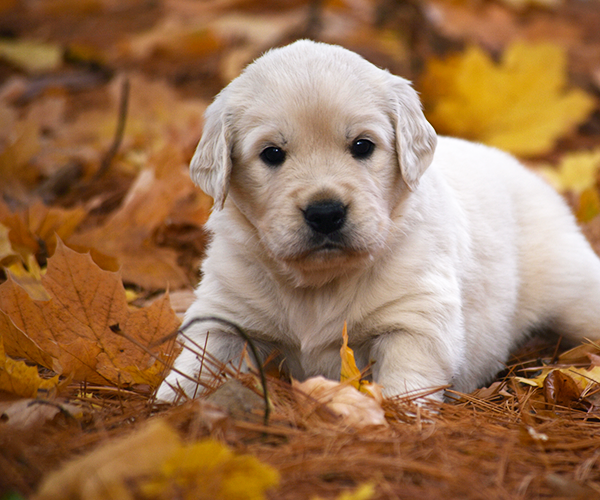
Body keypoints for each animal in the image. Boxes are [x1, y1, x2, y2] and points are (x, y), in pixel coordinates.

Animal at [157, 39, 600, 402]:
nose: (325, 213)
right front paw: (171, 402)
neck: (321, 285)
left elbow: (405, 382)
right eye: (272, 154)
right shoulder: (226, 309)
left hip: (574, 288)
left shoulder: (416, 319)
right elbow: (200, 361)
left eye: (362, 146)